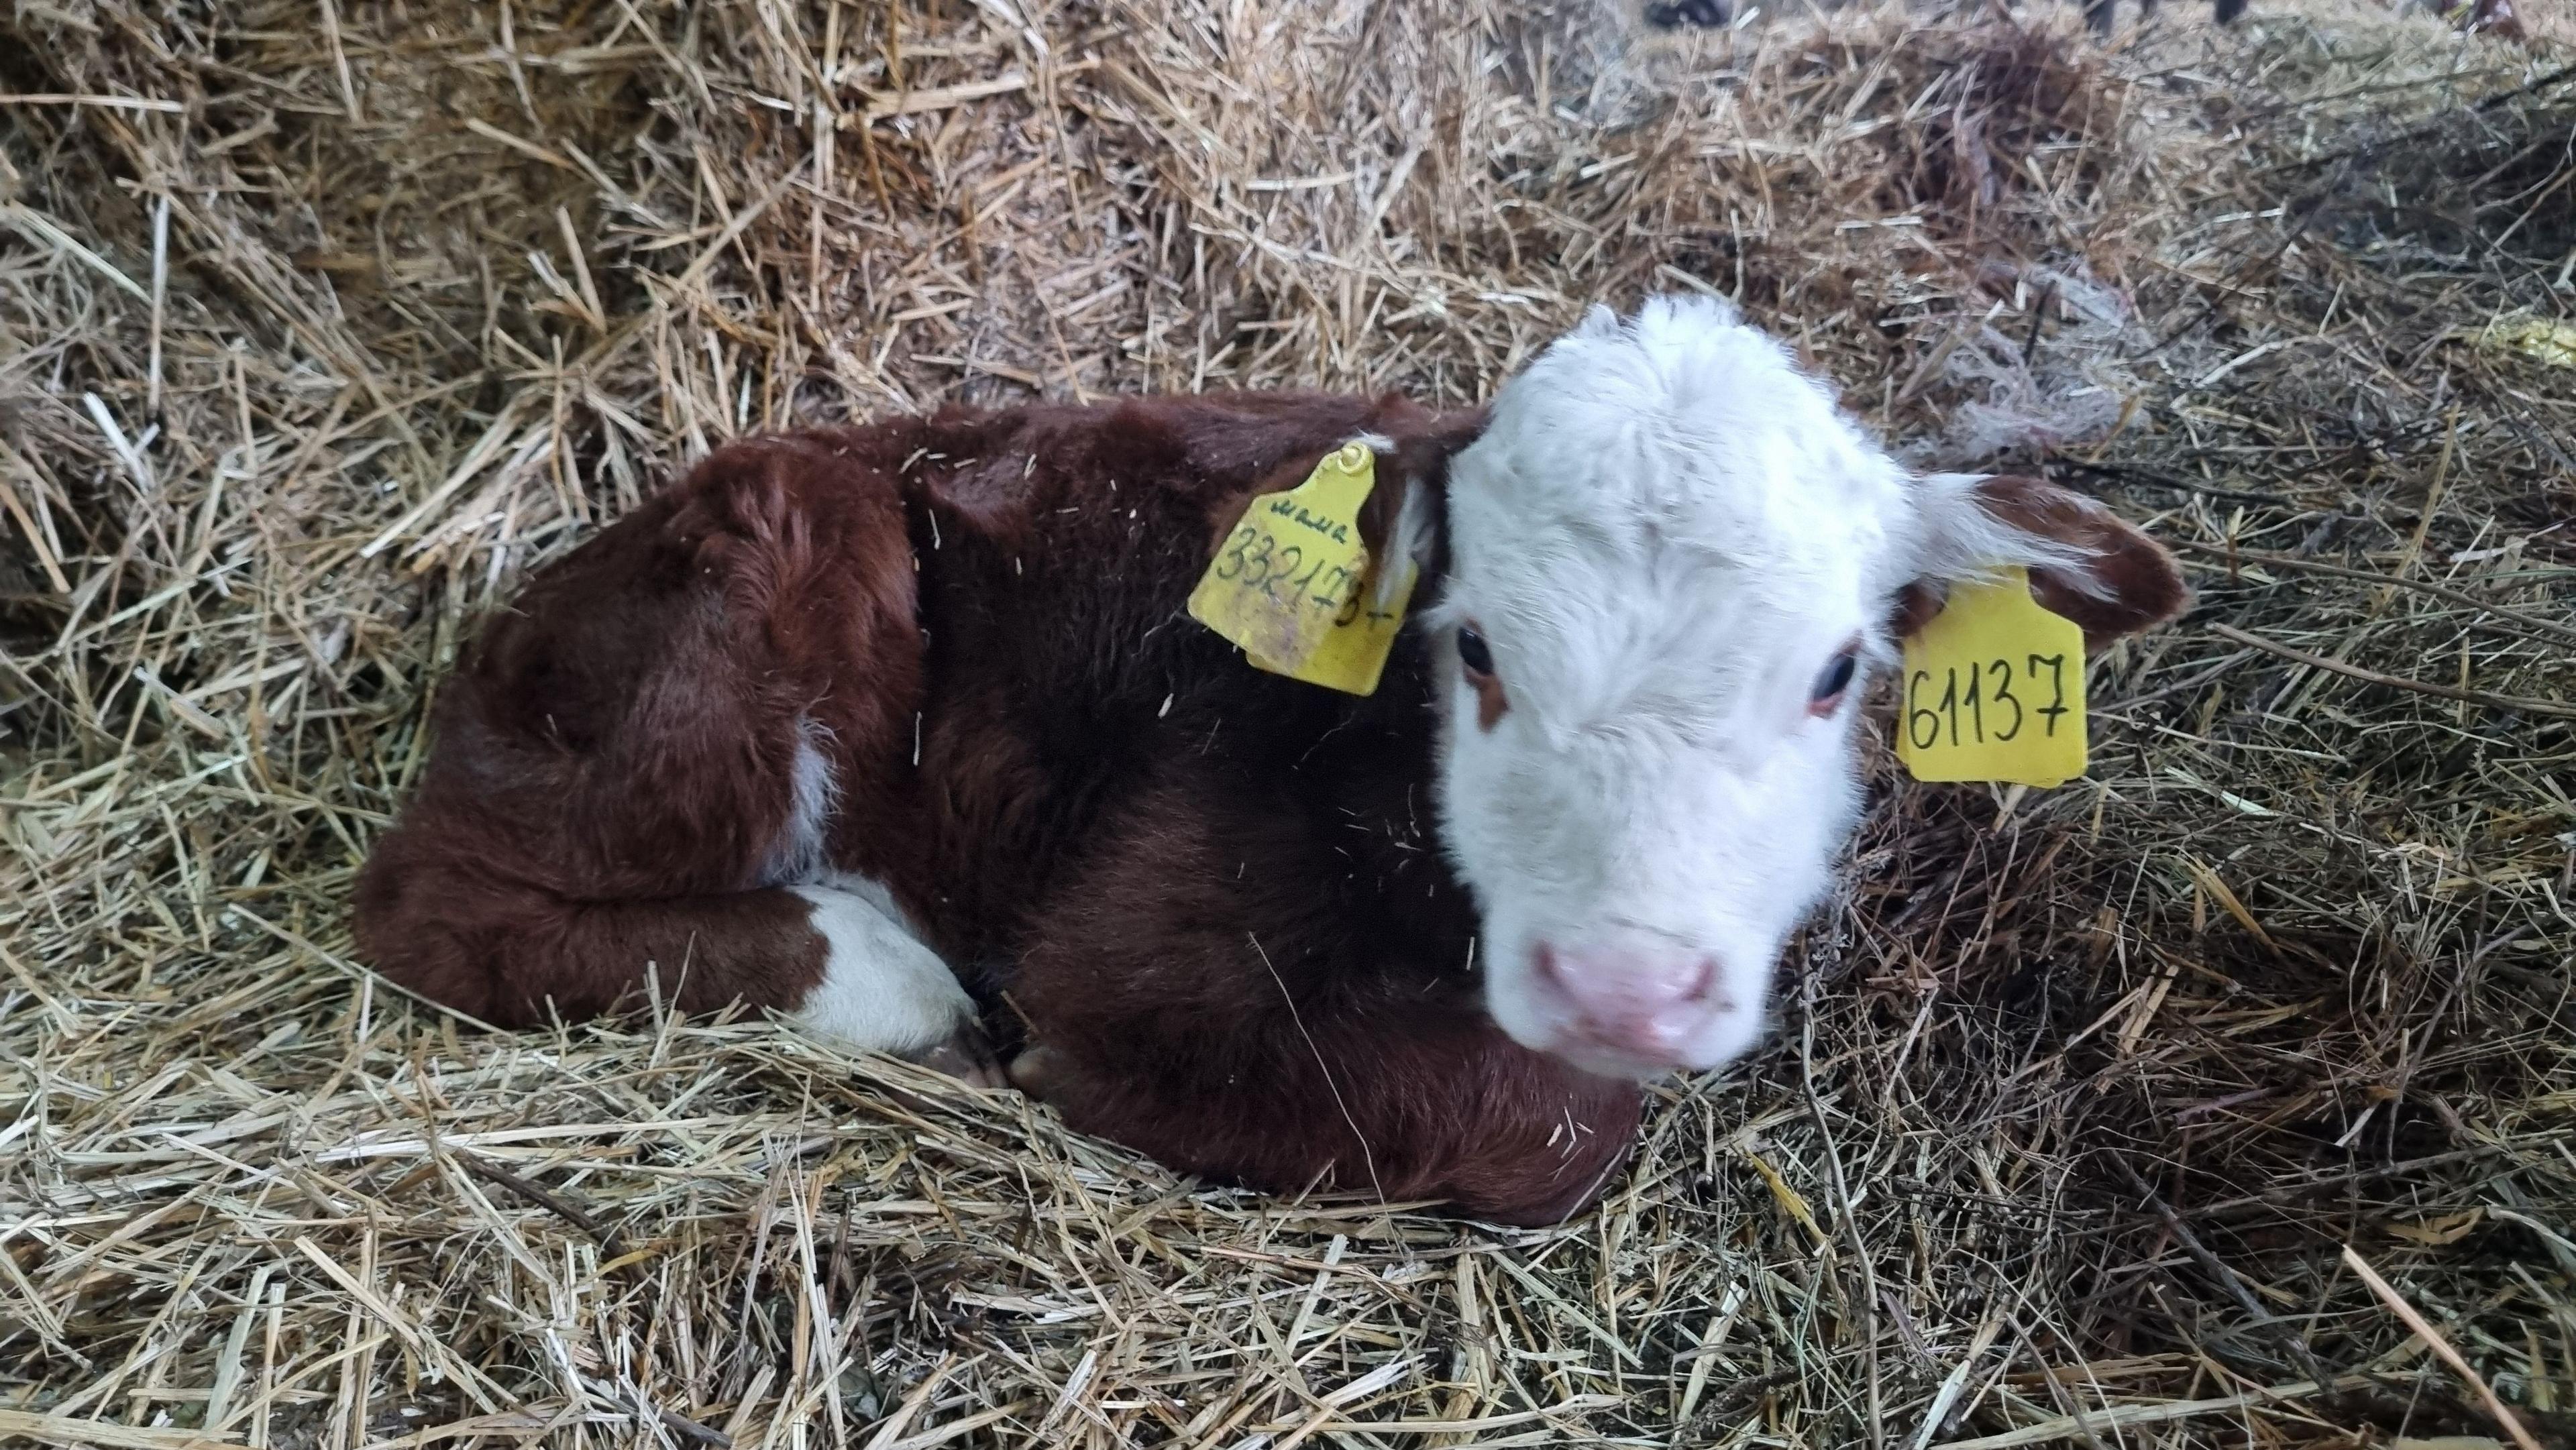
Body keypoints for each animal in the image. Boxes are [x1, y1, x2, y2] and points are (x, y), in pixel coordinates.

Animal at [353, 298, 2185, 1225]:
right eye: (1474, 648)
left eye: (1834, 672)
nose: (1623, 986)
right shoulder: (1130, 951)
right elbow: (1546, 1121)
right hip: (777, 591)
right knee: (434, 905)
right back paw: (884, 973)